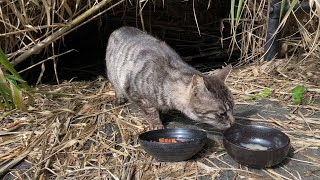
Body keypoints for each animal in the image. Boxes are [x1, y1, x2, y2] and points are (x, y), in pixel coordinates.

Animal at [105, 26, 235, 130]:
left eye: (233, 108)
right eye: (222, 113)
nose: (233, 122)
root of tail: (121, 28)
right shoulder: (136, 94)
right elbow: (150, 112)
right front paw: (156, 124)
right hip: (113, 73)